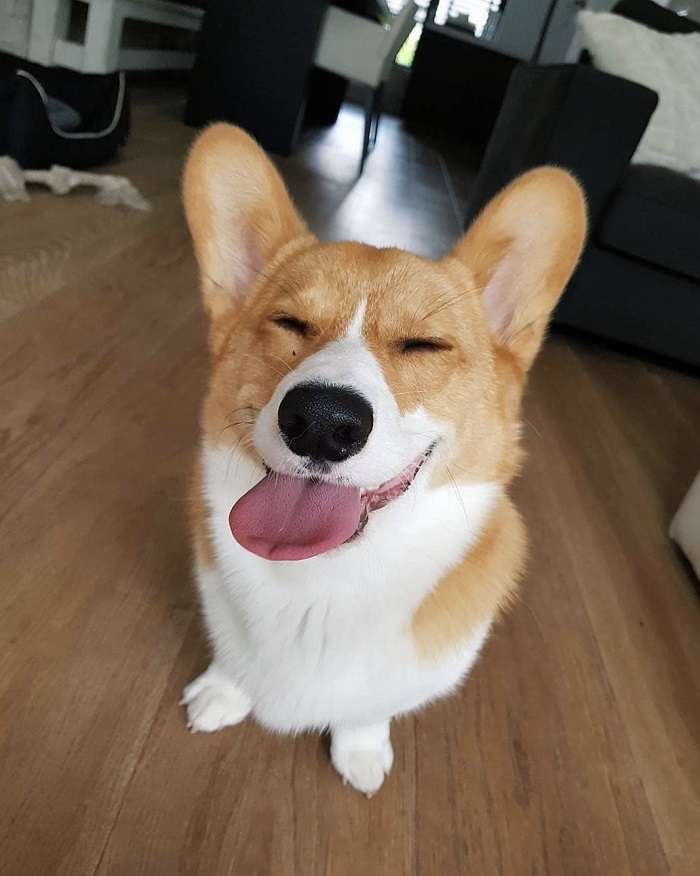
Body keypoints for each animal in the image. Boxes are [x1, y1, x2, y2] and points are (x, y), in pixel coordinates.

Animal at [180, 126, 584, 796]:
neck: (322, 584)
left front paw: (362, 751)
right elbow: (234, 656)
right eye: (289, 322)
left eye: (425, 345)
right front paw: (225, 692)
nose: (321, 420)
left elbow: (369, 710)